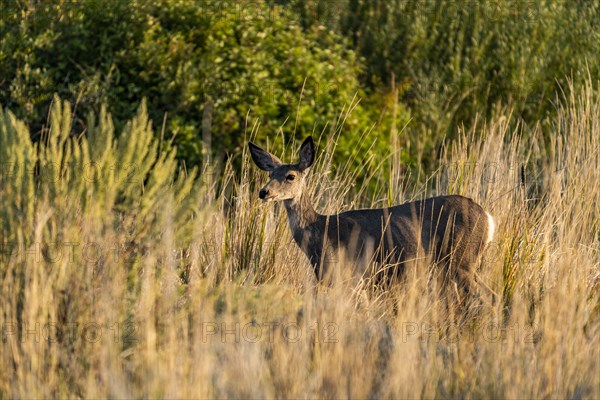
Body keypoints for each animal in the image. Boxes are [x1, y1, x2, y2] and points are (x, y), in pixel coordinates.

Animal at [246, 135, 494, 294]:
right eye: (270, 174)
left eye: (290, 176)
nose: (264, 192)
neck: (320, 231)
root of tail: (488, 218)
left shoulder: (346, 273)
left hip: (462, 258)